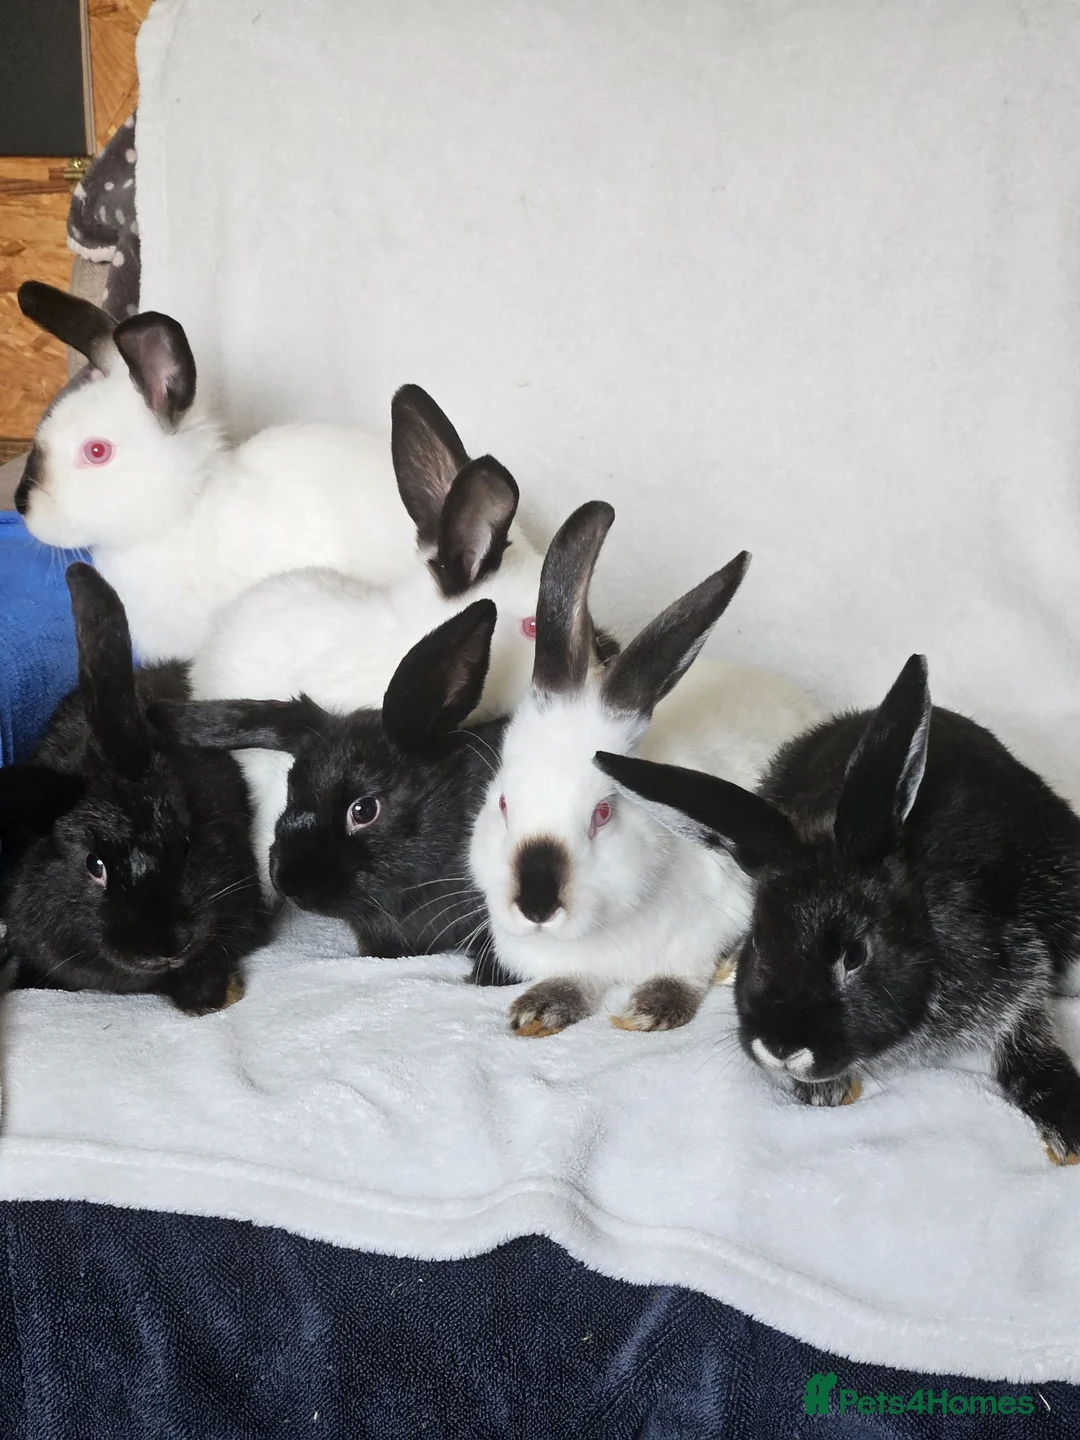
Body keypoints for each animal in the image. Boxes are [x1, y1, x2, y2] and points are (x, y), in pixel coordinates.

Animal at [467, 500, 819, 1038]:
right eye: (504, 804)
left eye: (603, 813)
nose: (537, 906)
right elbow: (572, 979)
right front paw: (539, 1008)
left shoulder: (708, 922)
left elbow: (682, 973)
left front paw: (649, 1010)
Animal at [596, 653, 1080, 1165]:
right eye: (757, 939)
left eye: (856, 956)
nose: (781, 1047)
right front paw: (824, 1089)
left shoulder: (1017, 970)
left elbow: (1028, 1039)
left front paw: (1069, 1129)